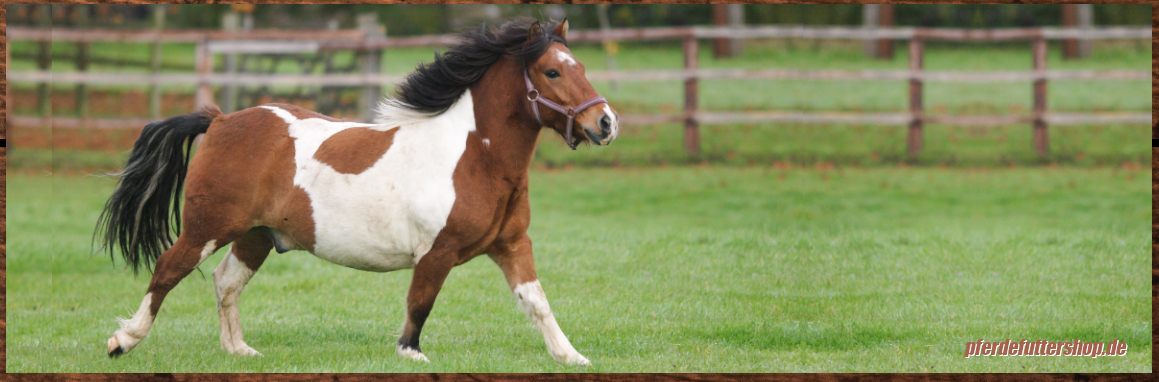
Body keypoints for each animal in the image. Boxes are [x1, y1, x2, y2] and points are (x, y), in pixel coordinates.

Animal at [92, 19, 616, 365]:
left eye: (580, 66)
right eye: (552, 72)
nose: (606, 122)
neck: (472, 157)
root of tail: (221, 120)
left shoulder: (511, 245)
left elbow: (537, 301)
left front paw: (571, 357)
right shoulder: (437, 251)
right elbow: (419, 305)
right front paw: (410, 354)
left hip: (254, 236)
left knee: (226, 282)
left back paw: (239, 350)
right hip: (207, 227)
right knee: (168, 270)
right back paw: (124, 341)